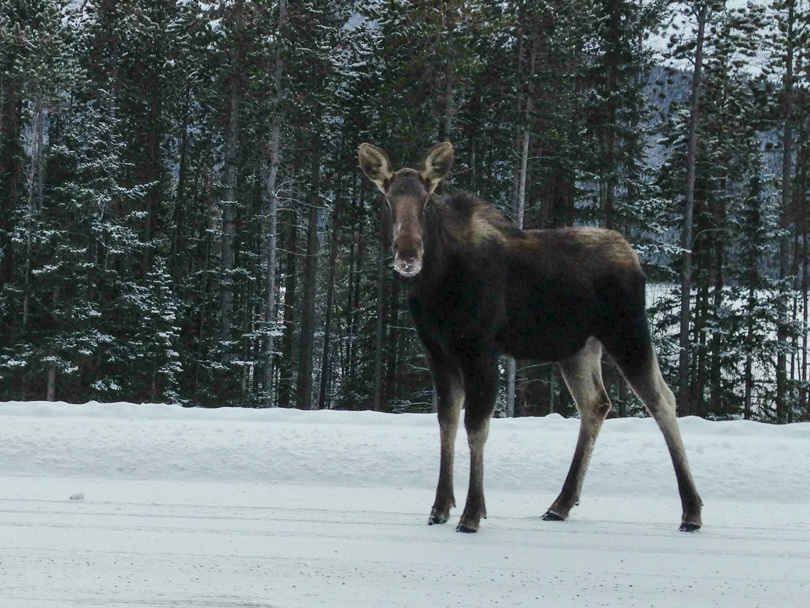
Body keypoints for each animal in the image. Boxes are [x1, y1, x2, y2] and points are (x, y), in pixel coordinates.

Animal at [358, 141, 702, 533]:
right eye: (387, 201)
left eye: (427, 200)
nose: (408, 255)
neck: (435, 286)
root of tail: (635, 258)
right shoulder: (438, 351)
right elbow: (447, 421)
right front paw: (440, 507)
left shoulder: (481, 348)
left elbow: (476, 426)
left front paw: (472, 512)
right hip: (577, 348)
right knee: (596, 404)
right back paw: (561, 504)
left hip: (627, 330)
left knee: (662, 400)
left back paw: (691, 511)